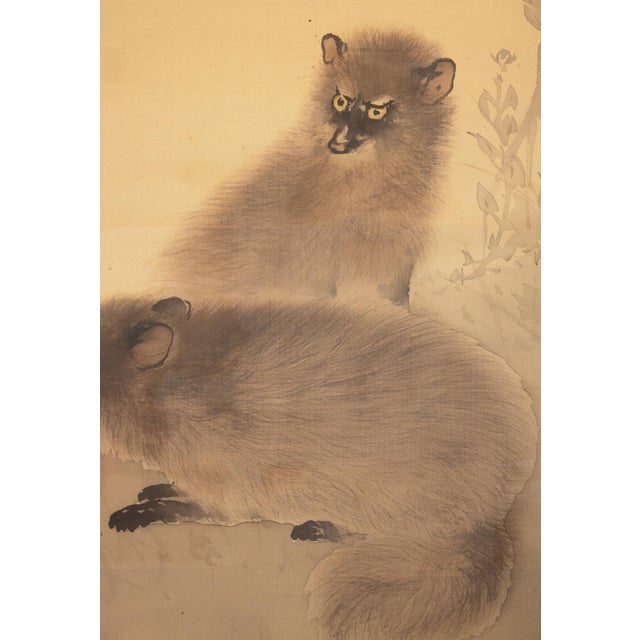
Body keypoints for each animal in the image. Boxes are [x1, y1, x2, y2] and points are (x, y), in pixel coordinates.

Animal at [101, 296, 537, 640]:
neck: (169, 391)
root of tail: (491, 520)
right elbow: (171, 490)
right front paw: (152, 490)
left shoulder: (228, 495)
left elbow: (183, 509)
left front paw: (131, 515)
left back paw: (314, 528)